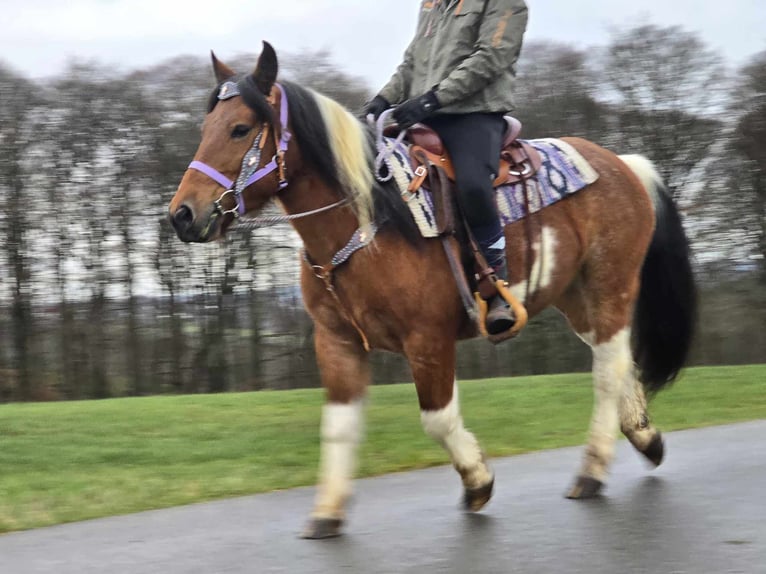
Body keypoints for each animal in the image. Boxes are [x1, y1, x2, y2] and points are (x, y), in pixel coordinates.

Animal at [166, 44, 696, 540]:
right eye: (207, 126)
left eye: (239, 129)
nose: (182, 215)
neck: (369, 222)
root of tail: (623, 163)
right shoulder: (336, 342)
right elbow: (338, 428)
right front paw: (327, 512)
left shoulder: (428, 340)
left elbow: (437, 419)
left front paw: (478, 480)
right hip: (575, 296)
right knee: (618, 358)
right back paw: (645, 438)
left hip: (611, 285)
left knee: (607, 369)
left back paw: (592, 469)